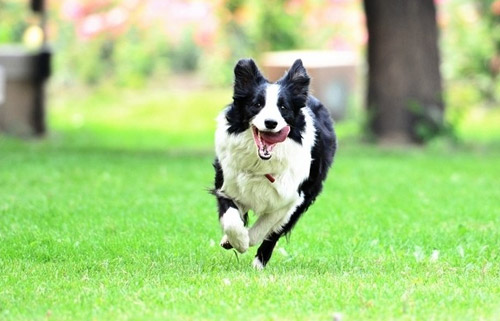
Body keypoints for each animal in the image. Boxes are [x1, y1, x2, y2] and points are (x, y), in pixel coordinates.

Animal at [213, 58, 338, 268]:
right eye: (257, 104)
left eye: (283, 108)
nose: (271, 123)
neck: (260, 163)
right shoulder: (226, 182)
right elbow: (231, 219)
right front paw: (237, 240)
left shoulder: (293, 197)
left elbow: (266, 227)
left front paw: (246, 241)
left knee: (274, 232)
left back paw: (259, 263)